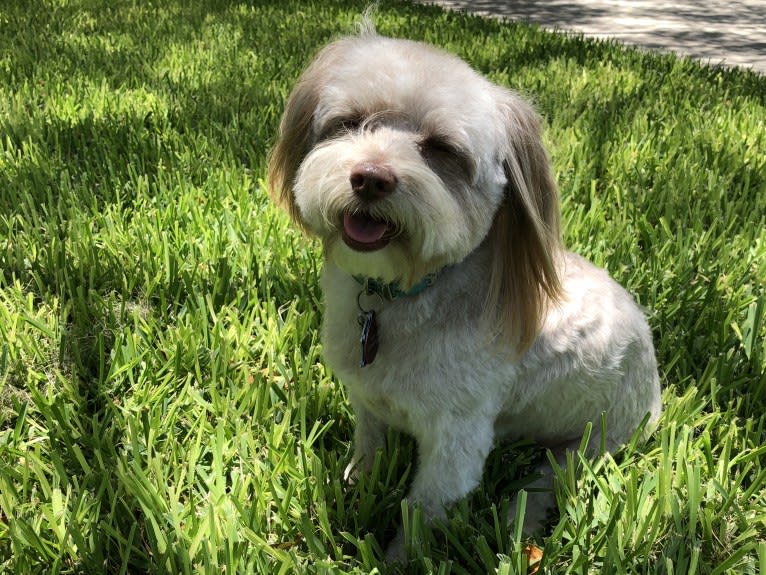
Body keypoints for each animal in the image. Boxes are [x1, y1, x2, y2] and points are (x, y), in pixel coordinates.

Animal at [268, 22, 664, 564]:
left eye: (441, 149)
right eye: (349, 123)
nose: (370, 178)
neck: (403, 291)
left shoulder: (456, 441)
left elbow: (421, 510)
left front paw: (397, 559)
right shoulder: (367, 399)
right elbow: (369, 446)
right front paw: (357, 485)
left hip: (594, 442)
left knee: (545, 482)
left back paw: (520, 524)